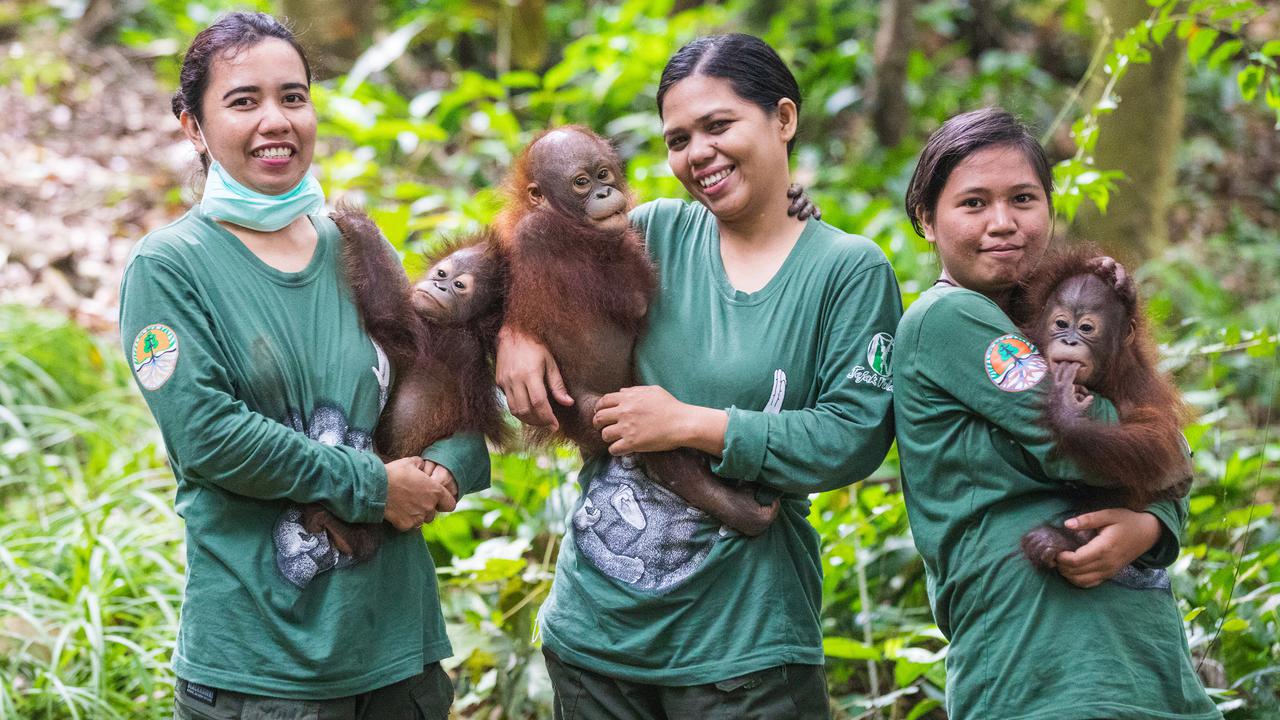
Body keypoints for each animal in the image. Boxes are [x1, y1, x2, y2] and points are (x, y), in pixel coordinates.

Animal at [299, 208, 509, 560]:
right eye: (442, 272)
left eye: (459, 285)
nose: (439, 286)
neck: (465, 324)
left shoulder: (441, 337)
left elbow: (389, 315)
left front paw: (355, 223)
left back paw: (350, 535)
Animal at [497, 126, 780, 537]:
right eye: (581, 183)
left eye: (602, 174)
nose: (603, 194)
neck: (558, 215)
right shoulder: (547, 233)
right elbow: (633, 300)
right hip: (590, 412)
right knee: (657, 449)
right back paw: (736, 506)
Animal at [1018, 248, 1194, 570]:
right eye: (1061, 324)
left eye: (1087, 328)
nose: (1070, 340)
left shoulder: (1137, 386)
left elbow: (1162, 452)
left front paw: (1066, 412)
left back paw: (1065, 540)